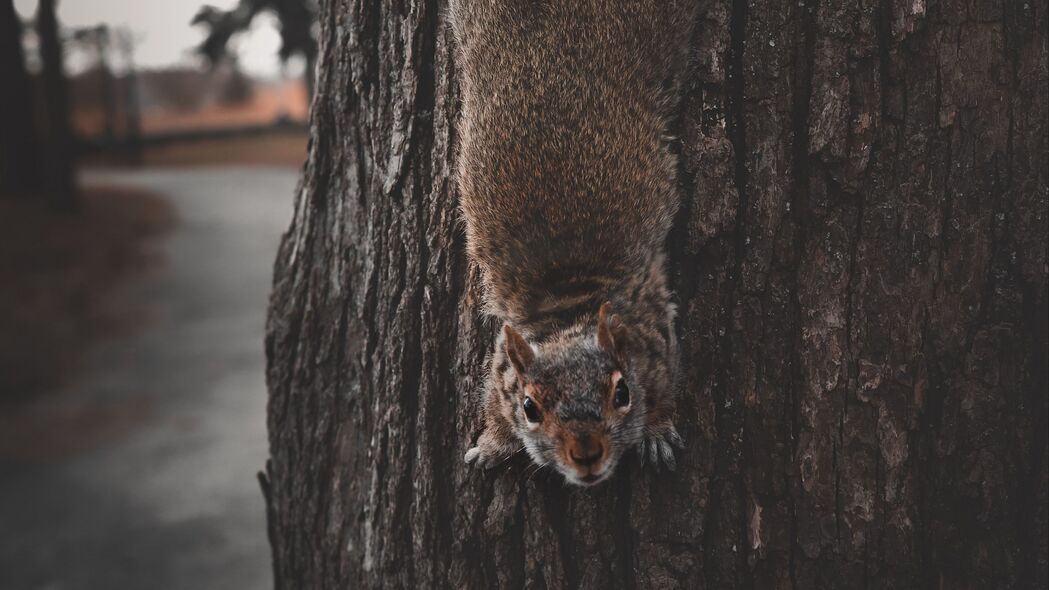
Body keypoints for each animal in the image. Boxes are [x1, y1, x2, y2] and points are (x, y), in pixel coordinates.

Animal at [451, 1, 696, 487]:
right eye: (530, 407)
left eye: (622, 393)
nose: (586, 454)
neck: (568, 304)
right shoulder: (504, 360)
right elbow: (494, 398)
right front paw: (492, 442)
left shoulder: (655, 335)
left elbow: (667, 386)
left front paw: (657, 429)